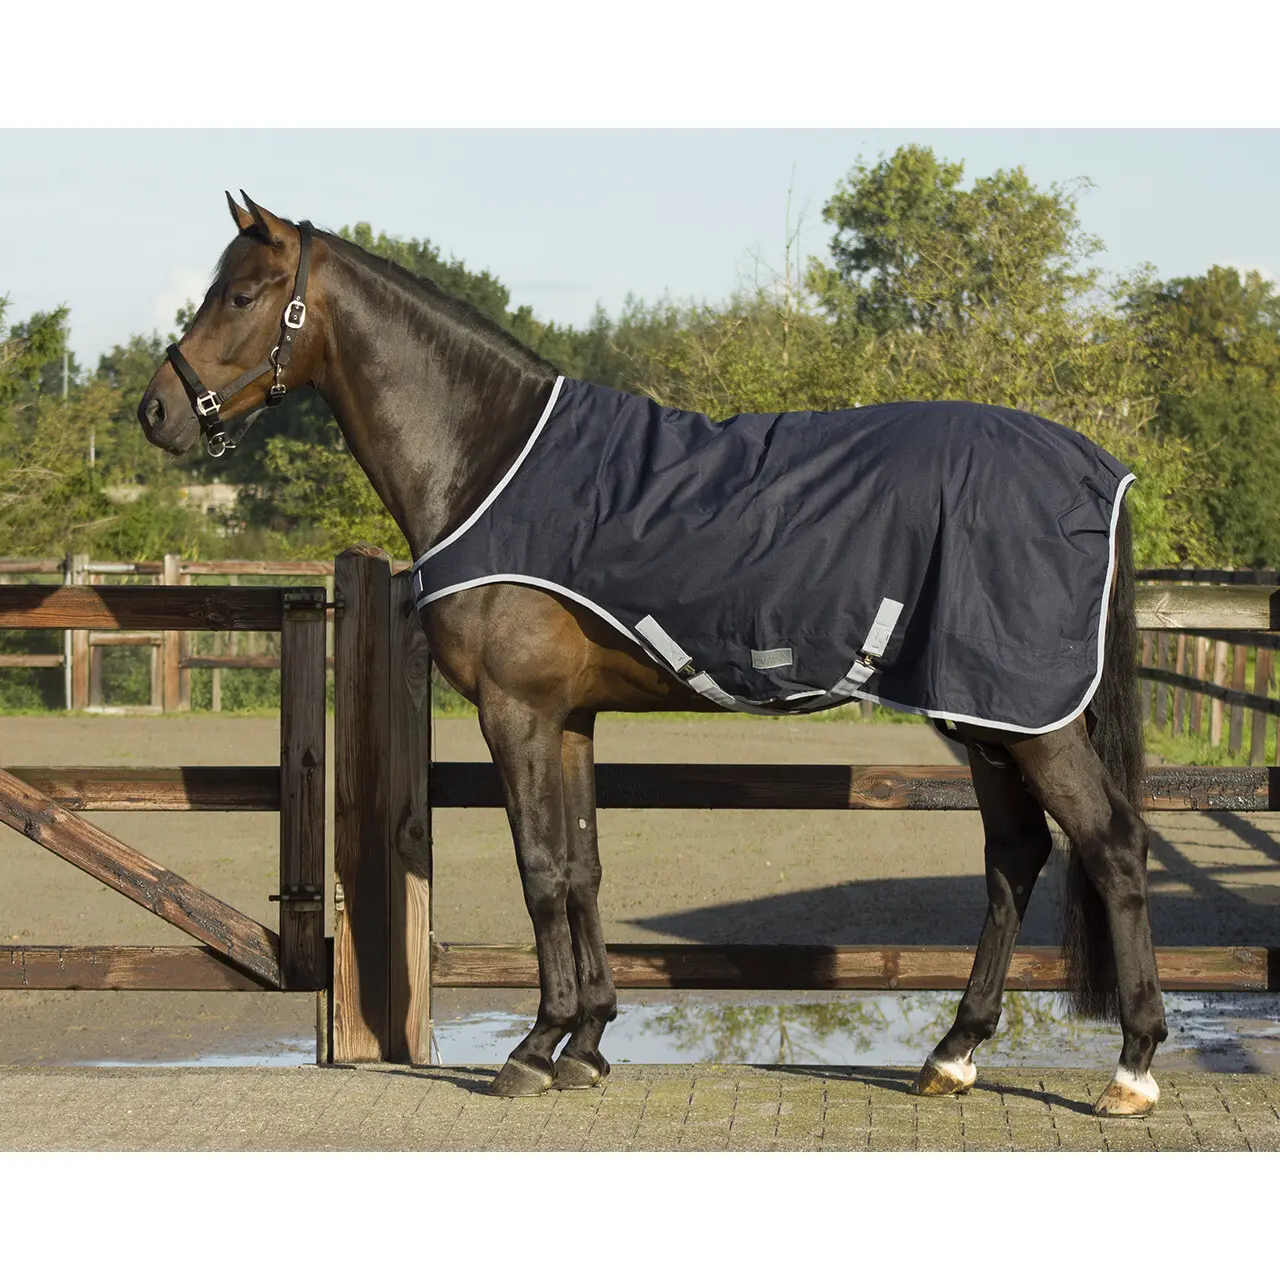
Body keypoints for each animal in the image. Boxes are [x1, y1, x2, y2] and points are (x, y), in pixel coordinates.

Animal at [138, 193, 1168, 1116]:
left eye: (240, 295)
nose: (156, 411)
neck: (488, 461)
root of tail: (1096, 469)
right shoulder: (569, 718)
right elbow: (583, 867)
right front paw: (588, 1043)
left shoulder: (516, 712)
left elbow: (540, 870)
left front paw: (534, 1047)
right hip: (985, 713)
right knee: (1015, 856)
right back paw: (953, 1054)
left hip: (1027, 718)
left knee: (1111, 844)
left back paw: (1131, 1070)